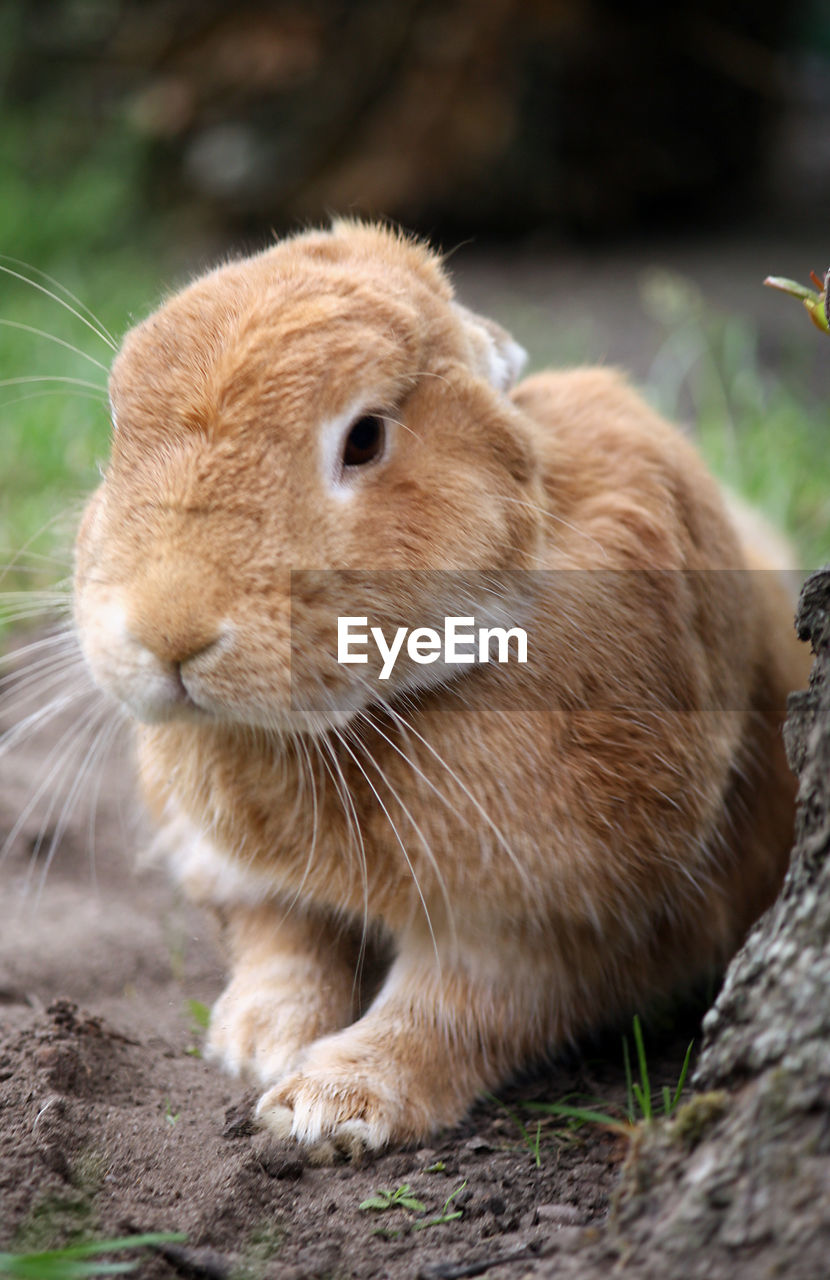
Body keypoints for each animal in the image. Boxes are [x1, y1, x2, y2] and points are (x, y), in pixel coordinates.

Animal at [73, 220, 809, 1162]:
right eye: (117, 430)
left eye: (364, 439)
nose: (170, 632)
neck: (363, 715)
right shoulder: (248, 877)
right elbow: (284, 942)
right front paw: (255, 1041)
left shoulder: (551, 918)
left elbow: (453, 1012)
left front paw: (326, 1107)